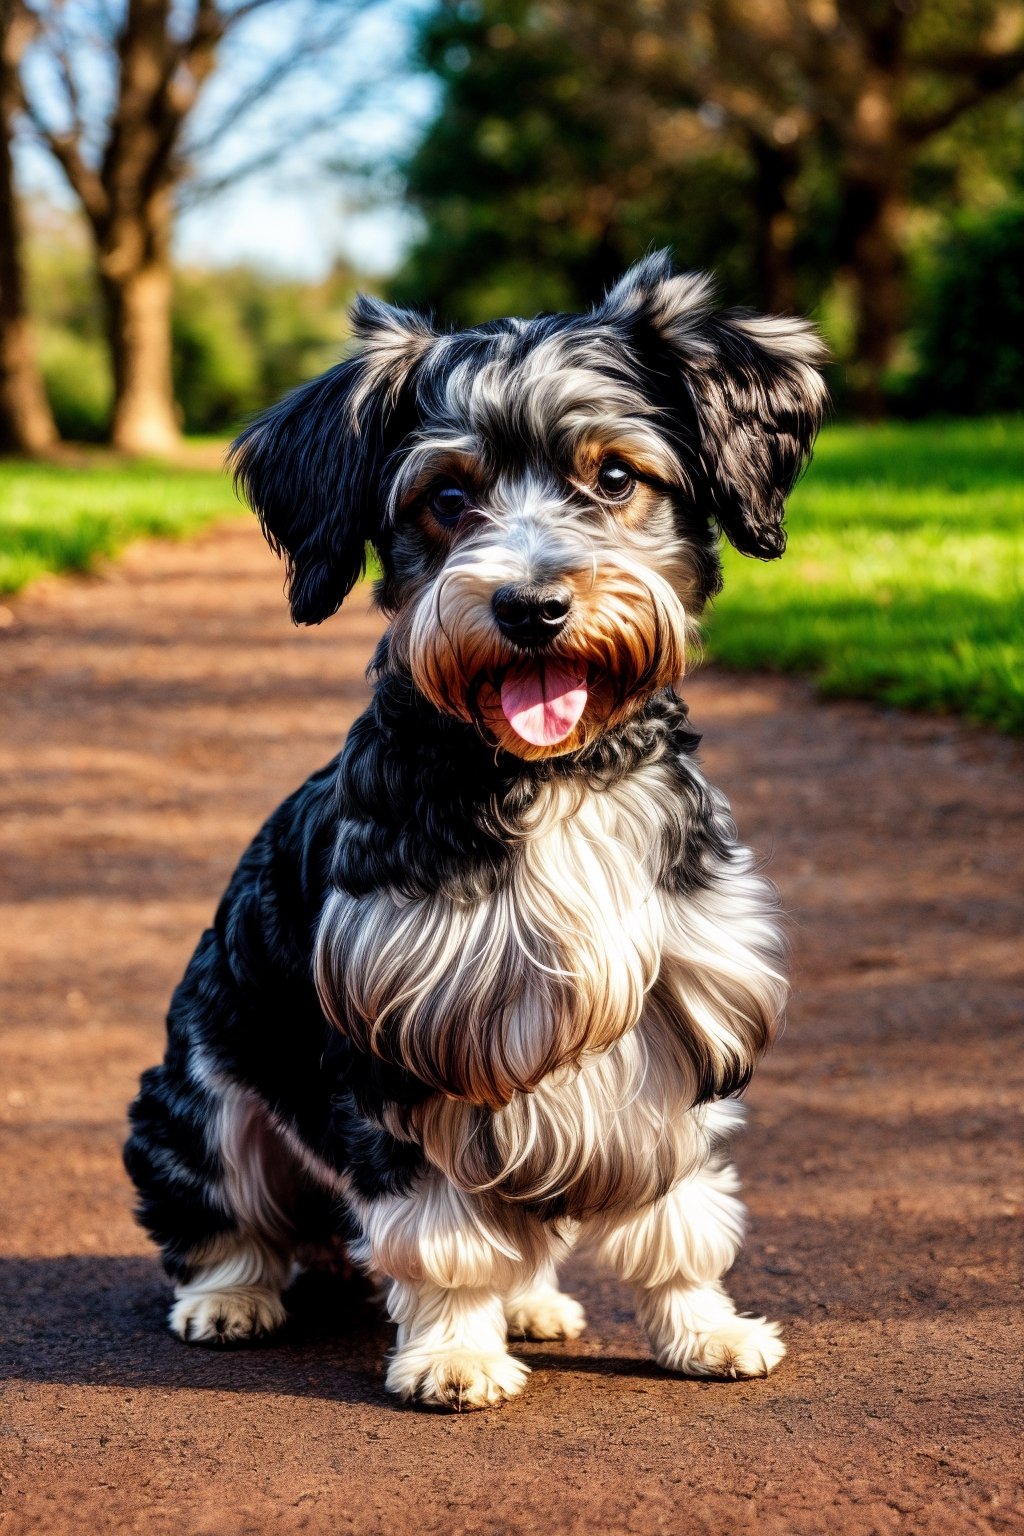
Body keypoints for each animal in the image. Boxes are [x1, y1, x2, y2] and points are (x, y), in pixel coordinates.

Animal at [124, 254, 822, 1413]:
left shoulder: (673, 1034)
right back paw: (232, 1297)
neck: (553, 780)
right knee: (226, 1220)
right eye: (447, 498)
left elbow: (680, 1220)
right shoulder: (410, 1047)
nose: (530, 606)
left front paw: (703, 1329)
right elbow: (441, 1233)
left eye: (616, 478)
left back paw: (533, 1301)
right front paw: (452, 1351)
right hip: (201, 1092)